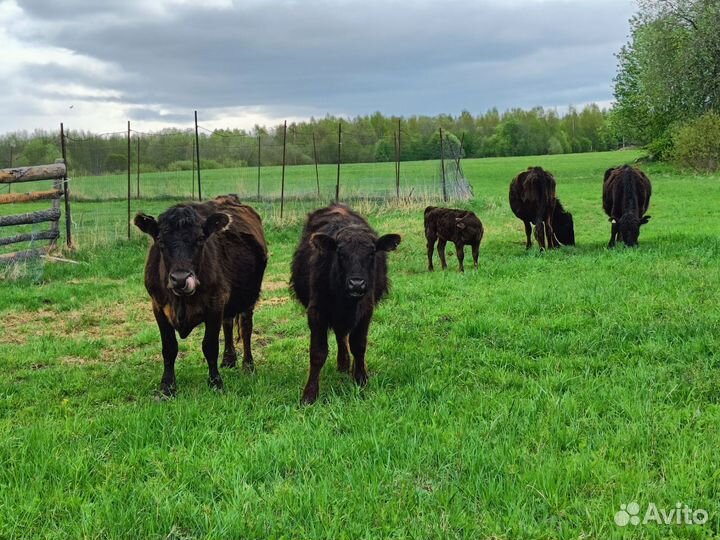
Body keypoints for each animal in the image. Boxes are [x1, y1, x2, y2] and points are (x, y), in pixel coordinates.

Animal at [134, 194, 267, 396]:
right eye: (161, 241)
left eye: (200, 239)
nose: (180, 279)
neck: (181, 301)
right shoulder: (158, 306)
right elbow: (169, 347)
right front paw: (167, 387)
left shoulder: (215, 304)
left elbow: (210, 346)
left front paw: (215, 383)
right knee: (228, 323)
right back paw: (229, 359)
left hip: (249, 296)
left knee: (245, 327)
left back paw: (248, 366)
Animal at [290, 204, 401, 404]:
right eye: (340, 253)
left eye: (371, 253)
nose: (356, 284)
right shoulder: (316, 311)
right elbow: (318, 353)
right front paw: (309, 394)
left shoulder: (366, 310)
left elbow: (359, 345)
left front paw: (361, 379)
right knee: (340, 335)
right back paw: (343, 363)